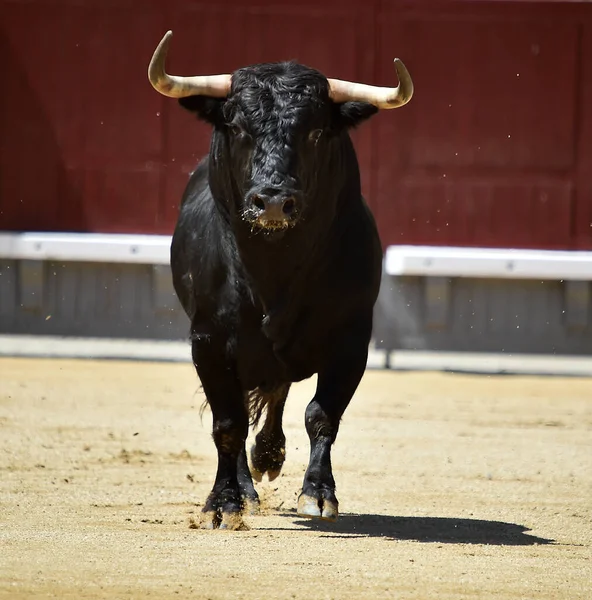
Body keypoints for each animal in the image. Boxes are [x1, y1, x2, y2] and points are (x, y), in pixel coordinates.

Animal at [150, 34, 414, 528]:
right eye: (238, 128)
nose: (272, 201)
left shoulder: (352, 339)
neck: (273, 266)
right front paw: (223, 503)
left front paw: (318, 493)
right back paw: (247, 488)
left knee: (277, 391)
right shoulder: (208, 340)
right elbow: (227, 423)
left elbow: (321, 414)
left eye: (316, 132)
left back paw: (268, 455)